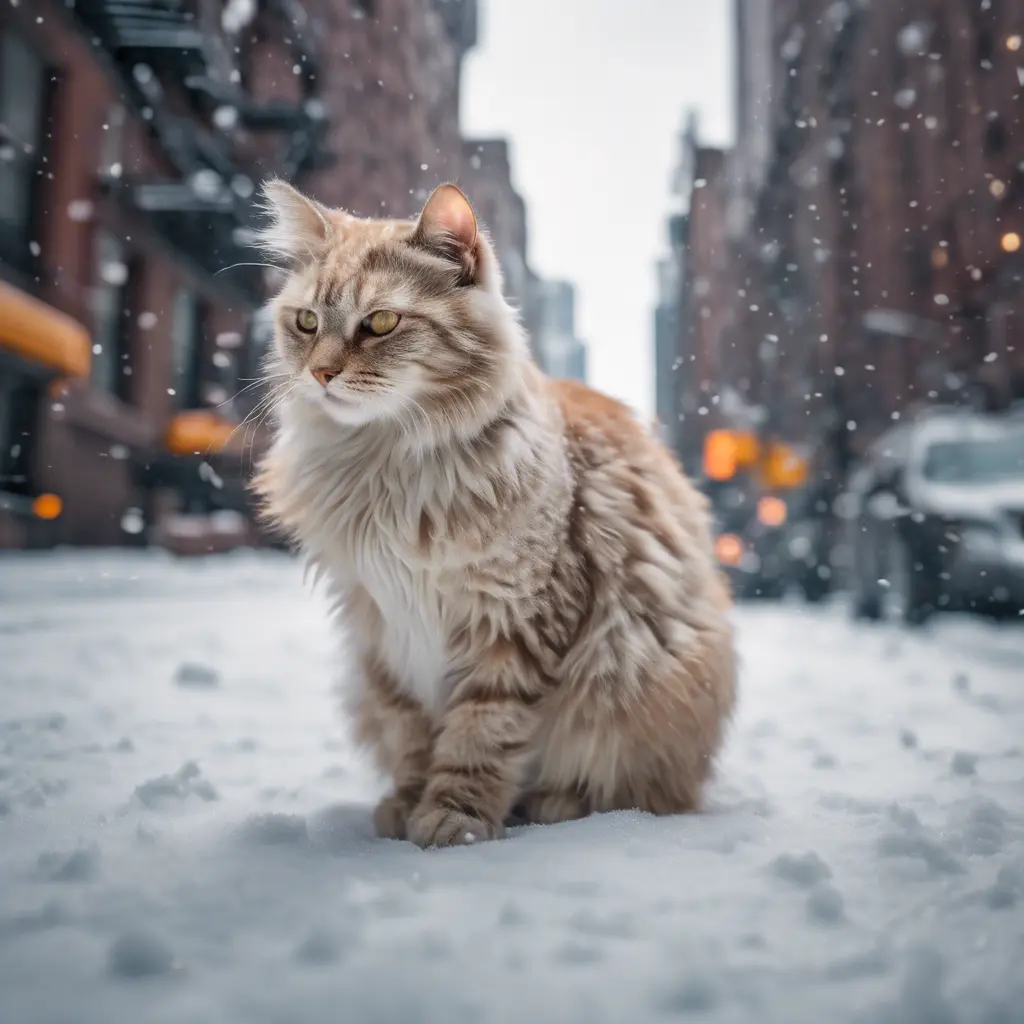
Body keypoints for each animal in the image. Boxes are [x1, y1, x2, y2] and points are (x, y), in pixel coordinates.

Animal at [254, 178, 737, 847]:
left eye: (380, 323)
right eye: (306, 322)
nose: (321, 373)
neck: (383, 468)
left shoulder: (516, 623)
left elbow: (480, 736)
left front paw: (453, 820)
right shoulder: (382, 629)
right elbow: (410, 735)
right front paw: (406, 808)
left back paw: (554, 805)